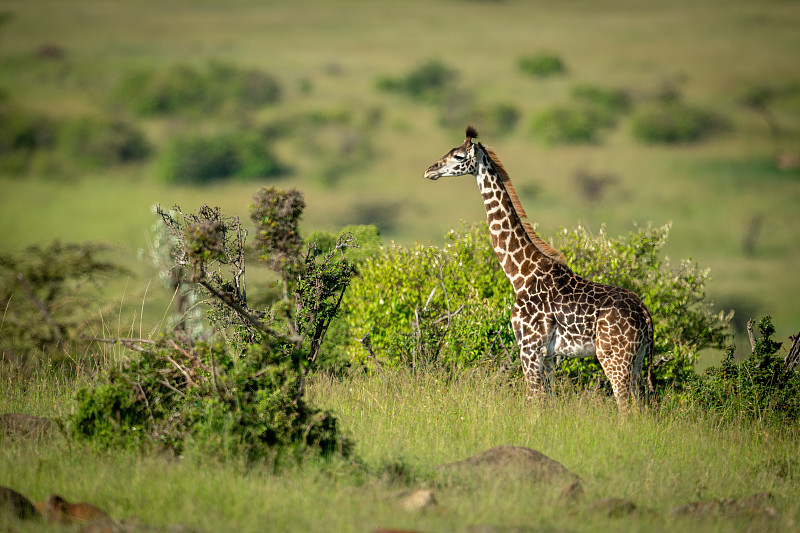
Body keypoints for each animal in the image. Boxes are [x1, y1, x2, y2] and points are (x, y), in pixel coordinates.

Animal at [422, 127, 652, 410]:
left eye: (457, 156)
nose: (429, 170)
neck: (520, 273)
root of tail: (645, 313)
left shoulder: (528, 347)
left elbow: (532, 400)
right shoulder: (549, 354)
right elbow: (549, 401)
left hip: (613, 356)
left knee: (625, 406)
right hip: (637, 359)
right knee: (639, 407)